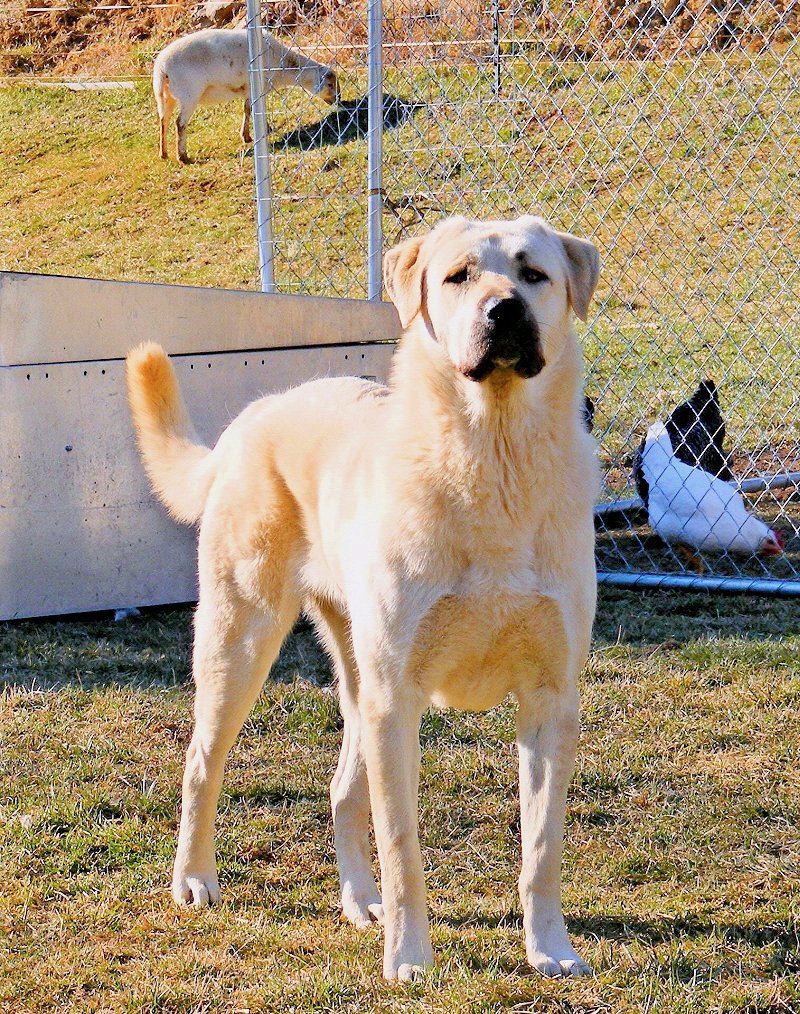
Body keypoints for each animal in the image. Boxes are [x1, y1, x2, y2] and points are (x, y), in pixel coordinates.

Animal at [124, 215, 600, 981]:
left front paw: (550, 949)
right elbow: (402, 844)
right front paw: (409, 958)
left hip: (355, 682)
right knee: (202, 764)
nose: (504, 313)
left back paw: (359, 900)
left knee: (341, 790)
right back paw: (194, 879)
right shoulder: (397, 699)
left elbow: (542, 849)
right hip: (244, 642)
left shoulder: (550, 701)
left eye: (534, 274)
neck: (492, 453)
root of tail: (254, 415)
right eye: (459, 276)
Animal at [153, 27, 336, 163]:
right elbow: (250, 109)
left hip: (164, 96)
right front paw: (250, 135)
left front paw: (259, 130)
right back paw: (183, 156)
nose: (337, 100)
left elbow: (251, 109)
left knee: (163, 120)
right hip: (189, 94)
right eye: (330, 84)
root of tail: (162, 68)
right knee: (179, 123)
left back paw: (164, 153)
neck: (283, 65)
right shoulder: (253, 86)